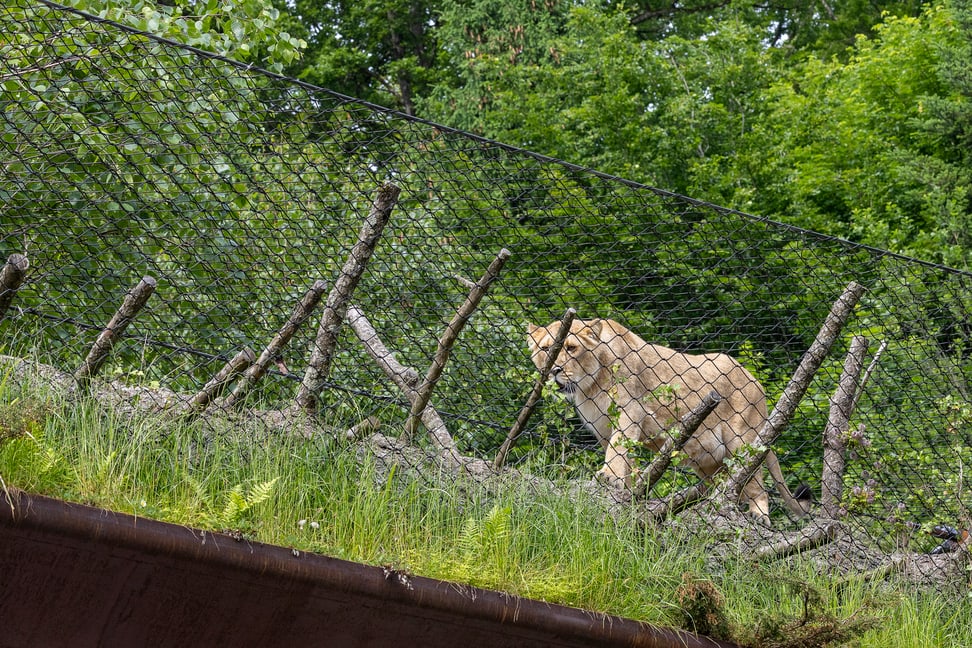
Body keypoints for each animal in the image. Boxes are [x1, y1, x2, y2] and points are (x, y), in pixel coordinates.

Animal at [527, 317, 809, 521]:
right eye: (546, 349)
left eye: (572, 348)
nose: (555, 370)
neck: (589, 385)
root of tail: (755, 381)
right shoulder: (602, 426)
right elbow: (625, 458)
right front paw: (628, 491)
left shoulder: (630, 411)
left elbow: (617, 451)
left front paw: (608, 476)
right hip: (709, 459)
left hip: (742, 440)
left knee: (755, 481)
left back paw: (759, 515)